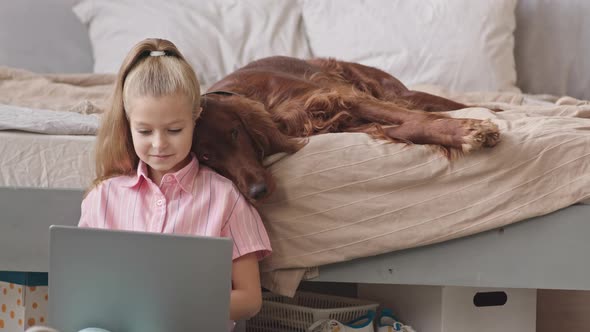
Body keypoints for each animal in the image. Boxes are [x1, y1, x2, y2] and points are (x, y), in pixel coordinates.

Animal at [193, 56, 500, 202]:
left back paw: (494, 109)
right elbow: (410, 126)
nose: (257, 192)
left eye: (235, 132)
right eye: (206, 158)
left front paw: (469, 130)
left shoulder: (344, 97)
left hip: (393, 91)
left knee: (449, 103)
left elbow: (417, 119)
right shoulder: (346, 123)